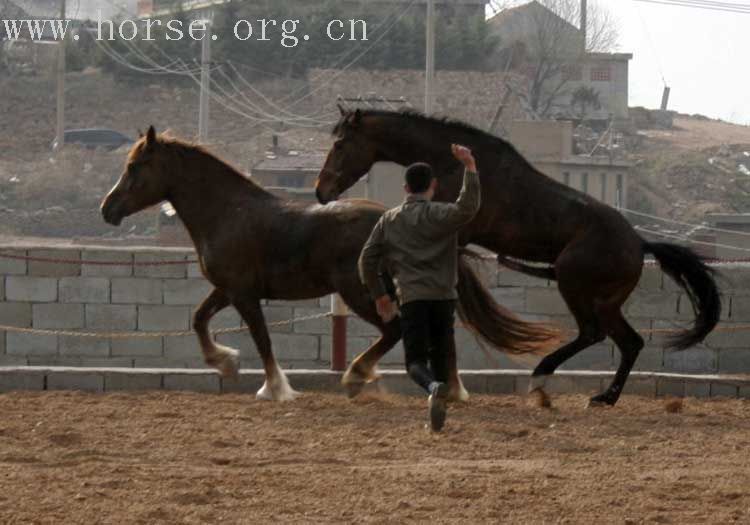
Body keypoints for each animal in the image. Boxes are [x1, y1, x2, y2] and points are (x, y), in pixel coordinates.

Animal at [100, 126, 560, 402]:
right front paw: (225, 362)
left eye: (135, 166)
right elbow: (198, 319)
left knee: (395, 330)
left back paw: (359, 375)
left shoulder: (245, 295)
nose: (108, 209)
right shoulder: (227, 289)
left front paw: (274, 389)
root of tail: (390, 216)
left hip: (361, 291)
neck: (228, 212)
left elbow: (263, 340)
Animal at [316, 108, 724, 408]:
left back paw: (542, 380)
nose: (321, 191)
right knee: (629, 342)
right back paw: (604, 397)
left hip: (574, 286)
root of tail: (639, 243)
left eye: (340, 144)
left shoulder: (454, 229)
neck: (452, 164)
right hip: (606, 301)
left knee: (594, 334)